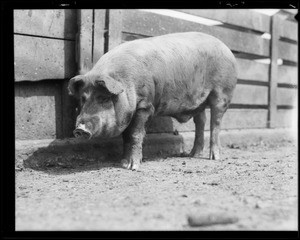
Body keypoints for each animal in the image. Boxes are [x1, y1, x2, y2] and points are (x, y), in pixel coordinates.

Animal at [68, 31, 237, 170]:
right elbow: (126, 137)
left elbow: (135, 134)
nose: (80, 129)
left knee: (215, 123)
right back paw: (192, 155)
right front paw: (123, 163)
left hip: (222, 93)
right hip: (199, 103)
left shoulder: (145, 105)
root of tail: (226, 48)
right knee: (200, 121)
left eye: (103, 98)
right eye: (83, 99)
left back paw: (214, 158)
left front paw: (133, 166)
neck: (127, 82)